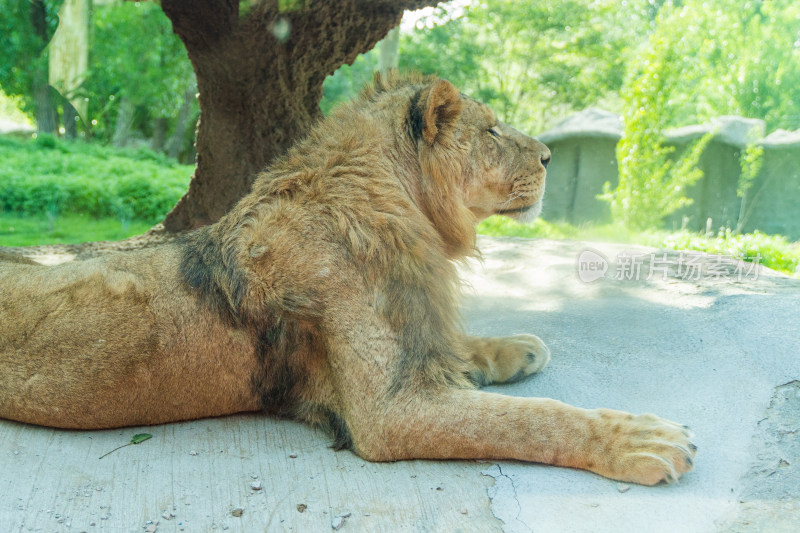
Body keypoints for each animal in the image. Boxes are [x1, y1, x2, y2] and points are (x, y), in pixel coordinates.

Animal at [0, 72, 692, 484]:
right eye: (493, 130)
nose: (549, 157)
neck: (409, 213)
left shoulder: (417, 332)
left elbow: (458, 345)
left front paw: (513, 350)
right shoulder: (389, 415)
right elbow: (531, 420)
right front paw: (638, 439)